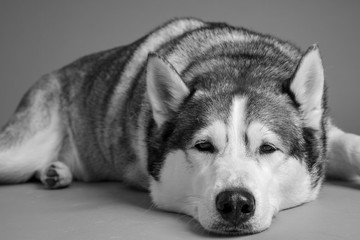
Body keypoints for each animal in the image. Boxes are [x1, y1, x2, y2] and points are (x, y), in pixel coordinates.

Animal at [0, 17, 360, 235]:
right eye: (204, 146)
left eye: (268, 148)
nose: (235, 204)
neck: (237, 60)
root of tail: (55, 72)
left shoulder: (327, 131)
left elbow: (349, 145)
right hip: (22, 151)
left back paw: (54, 172)